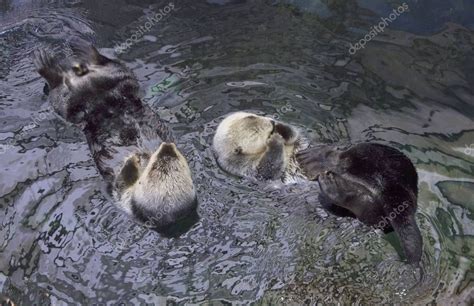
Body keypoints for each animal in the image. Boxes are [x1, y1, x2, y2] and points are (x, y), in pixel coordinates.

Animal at [33, 40, 196, 230]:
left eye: (157, 166)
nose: (168, 146)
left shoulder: (121, 196)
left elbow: (120, 182)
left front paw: (129, 163)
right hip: (118, 75)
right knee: (106, 65)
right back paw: (80, 48)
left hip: (68, 103)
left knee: (59, 87)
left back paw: (46, 62)